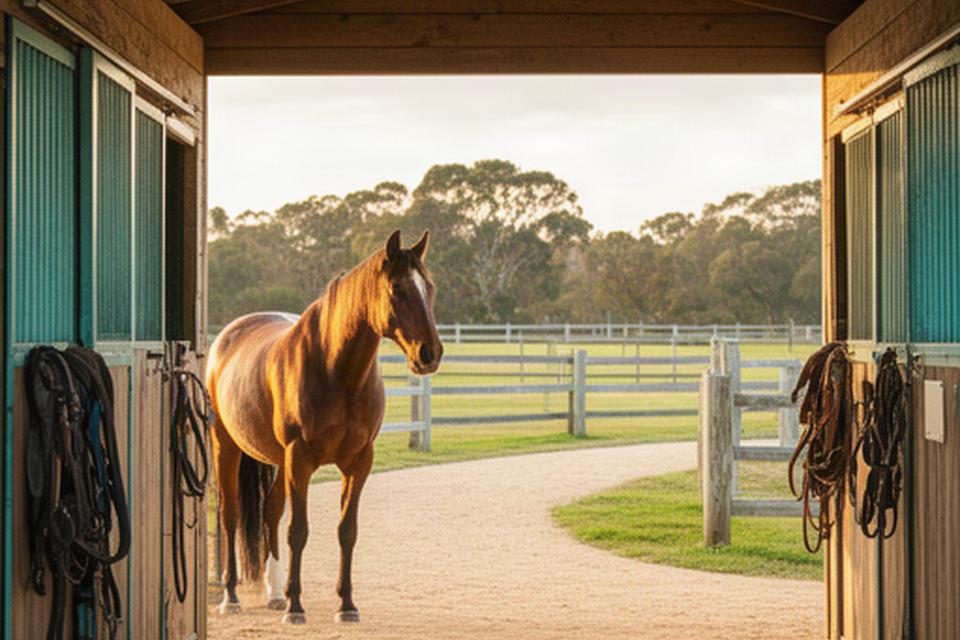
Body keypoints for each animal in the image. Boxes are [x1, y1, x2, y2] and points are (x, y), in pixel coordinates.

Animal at [205, 229, 442, 624]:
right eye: (397, 288)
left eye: (430, 288)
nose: (430, 353)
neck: (336, 371)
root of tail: (228, 336)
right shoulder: (300, 459)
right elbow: (298, 531)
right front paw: (295, 607)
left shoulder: (358, 462)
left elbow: (347, 531)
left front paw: (346, 605)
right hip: (228, 447)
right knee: (231, 515)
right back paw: (232, 597)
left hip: (279, 461)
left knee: (270, 512)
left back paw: (274, 593)